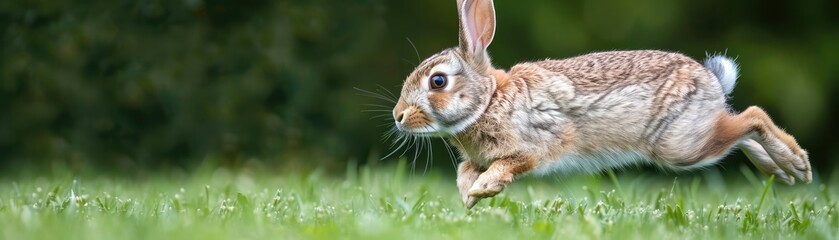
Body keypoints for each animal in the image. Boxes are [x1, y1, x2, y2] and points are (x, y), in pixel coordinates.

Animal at [390, 0, 812, 208]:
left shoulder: (534, 147)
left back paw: (797, 164)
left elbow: (507, 166)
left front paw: (484, 190)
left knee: (752, 118)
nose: (398, 116)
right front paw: (470, 197)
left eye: (438, 81)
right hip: (697, 135)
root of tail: (711, 80)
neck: (489, 100)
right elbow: (464, 170)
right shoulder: (477, 156)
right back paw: (781, 171)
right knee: (740, 130)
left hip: (679, 145)